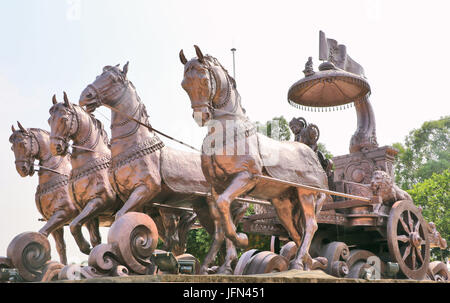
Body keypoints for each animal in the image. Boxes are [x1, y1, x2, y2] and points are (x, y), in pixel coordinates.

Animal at [180, 47, 330, 270]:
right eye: (184, 84)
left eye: (205, 80)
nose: (201, 116)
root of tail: (314, 156)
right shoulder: (216, 187)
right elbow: (220, 220)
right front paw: (216, 265)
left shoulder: (246, 177)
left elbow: (225, 207)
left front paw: (241, 240)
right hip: (283, 204)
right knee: (296, 230)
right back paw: (307, 262)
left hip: (306, 194)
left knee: (311, 225)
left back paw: (298, 263)